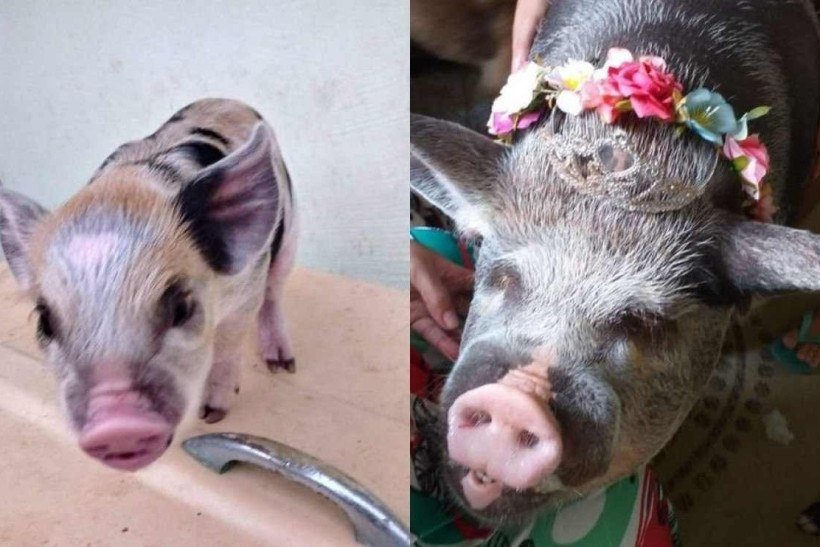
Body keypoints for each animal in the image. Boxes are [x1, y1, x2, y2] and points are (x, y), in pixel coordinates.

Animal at [0, 98, 297, 471]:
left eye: (181, 307)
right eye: (44, 322)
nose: (117, 426)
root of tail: (228, 101)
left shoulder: (247, 287)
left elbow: (229, 345)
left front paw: (212, 415)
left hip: (290, 230)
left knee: (276, 289)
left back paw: (283, 364)